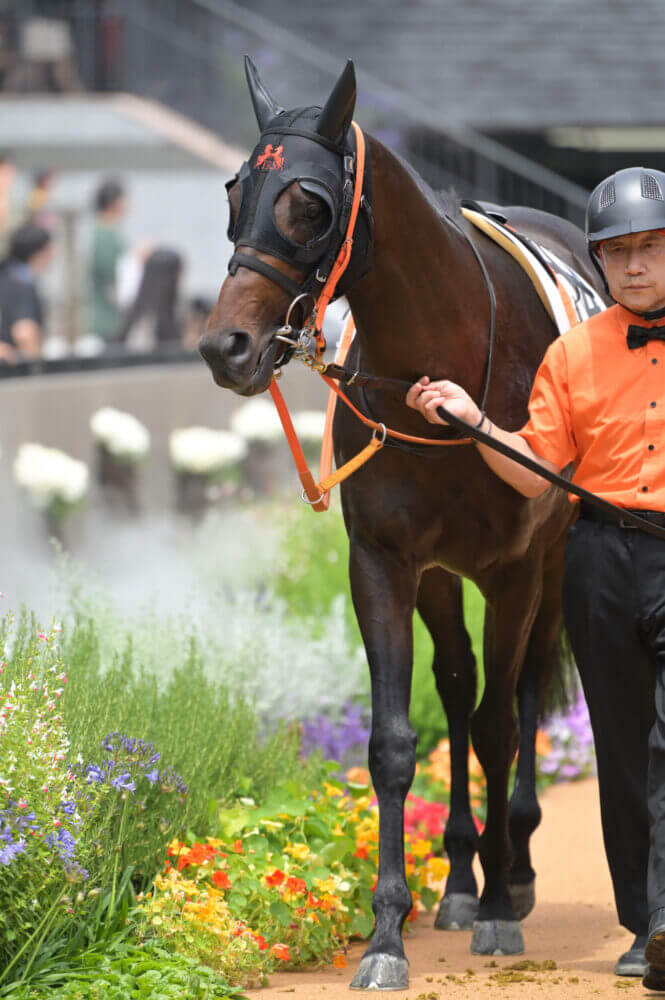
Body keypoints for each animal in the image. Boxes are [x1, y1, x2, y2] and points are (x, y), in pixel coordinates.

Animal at [197, 58, 608, 988]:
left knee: (518, 694)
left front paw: (497, 909)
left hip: (546, 563)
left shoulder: (513, 570)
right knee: (455, 686)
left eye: (310, 202)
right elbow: (394, 741)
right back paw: (457, 879)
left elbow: (500, 724)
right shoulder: (383, 562)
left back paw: (511, 871)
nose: (225, 347)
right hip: (440, 576)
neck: (444, 362)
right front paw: (389, 931)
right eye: (235, 188)